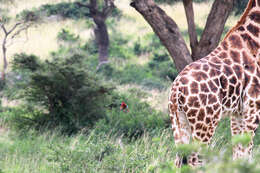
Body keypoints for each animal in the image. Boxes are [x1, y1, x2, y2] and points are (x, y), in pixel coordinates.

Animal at [169, 0, 260, 168]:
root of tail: (177, 91)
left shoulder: (237, 113)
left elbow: (238, 154)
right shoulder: (253, 109)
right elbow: (247, 153)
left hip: (178, 120)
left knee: (178, 160)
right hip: (205, 123)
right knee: (194, 160)